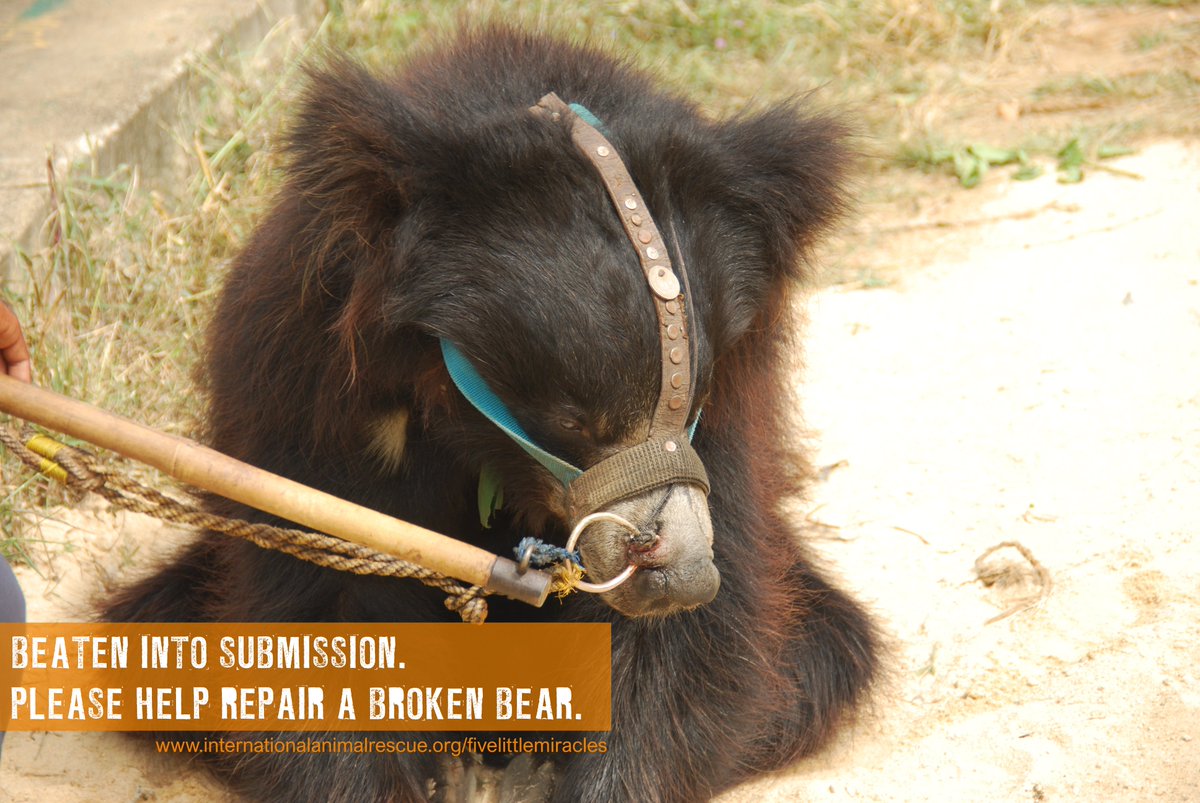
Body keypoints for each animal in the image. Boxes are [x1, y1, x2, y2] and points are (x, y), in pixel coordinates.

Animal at [103, 25, 878, 803]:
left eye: (694, 400)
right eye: (573, 418)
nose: (680, 579)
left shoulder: (740, 400)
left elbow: (690, 639)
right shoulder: (307, 381)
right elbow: (318, 590)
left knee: (828, 652)